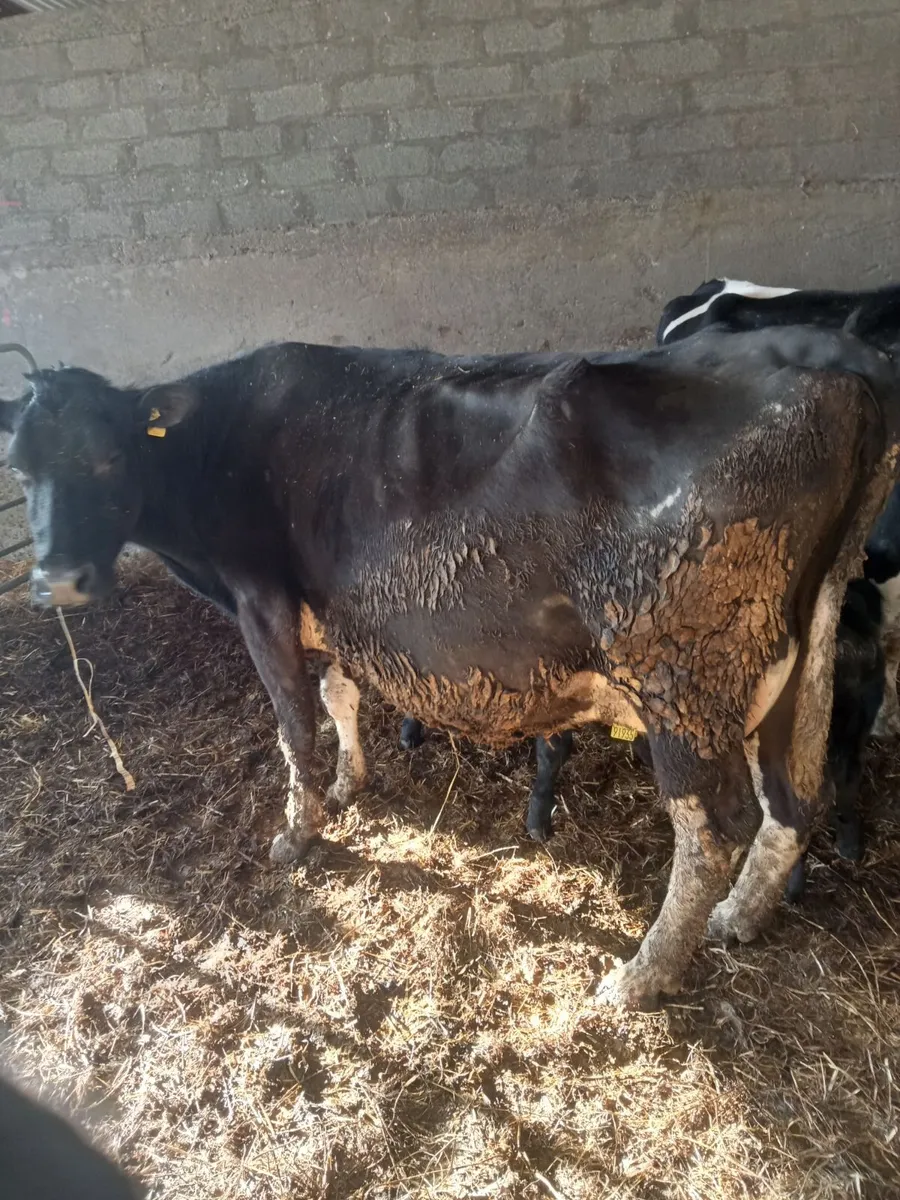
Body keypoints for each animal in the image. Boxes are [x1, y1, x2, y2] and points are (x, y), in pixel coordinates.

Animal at [3, 325, 898, 1010]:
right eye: (22, 467)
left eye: (108, 459)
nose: (58, 580)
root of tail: (838, 373)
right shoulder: (332, 612)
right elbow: (339, 694)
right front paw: (349, 784)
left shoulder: (262, 601)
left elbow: (294, 723)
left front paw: (298, 831)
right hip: (795, 658)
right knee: (793, 794)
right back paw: (740, 918)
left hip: (682, 670)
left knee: (713, 828)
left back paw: (641, 977)